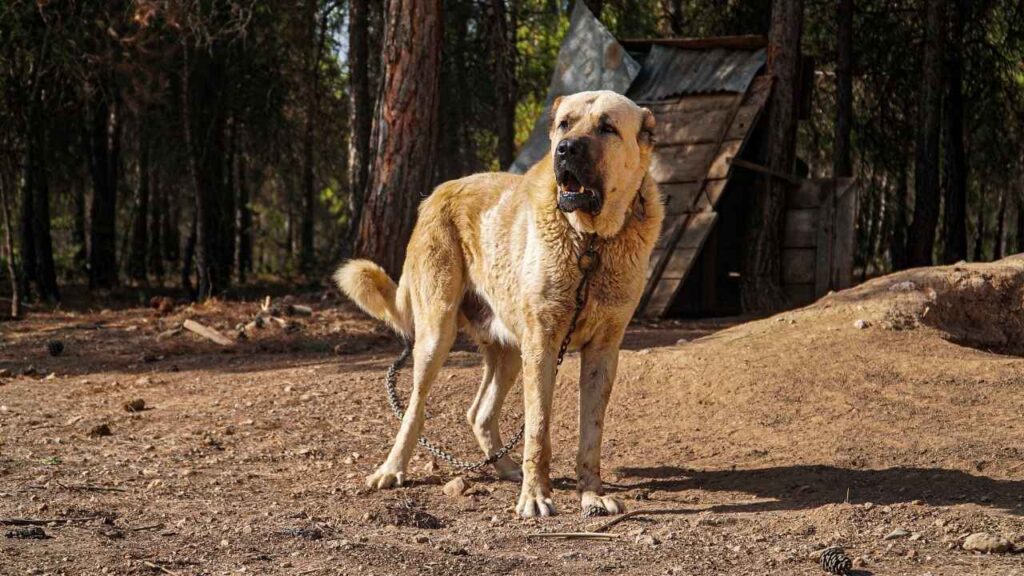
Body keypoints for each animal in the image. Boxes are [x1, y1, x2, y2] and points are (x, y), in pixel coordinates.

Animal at [331, 91, 659, 518]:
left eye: (607, 127)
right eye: (565, 124)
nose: (566, 149)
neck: (589, 243)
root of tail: (436, 192)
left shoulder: (603, 352)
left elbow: (591, 435)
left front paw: (591, 493)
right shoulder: (542, 347)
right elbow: (538, 431)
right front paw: (535, 496)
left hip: (508, 351)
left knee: (479, 413)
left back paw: (505, 468)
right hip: (437, 336)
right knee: (415, 409)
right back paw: (392, 469)